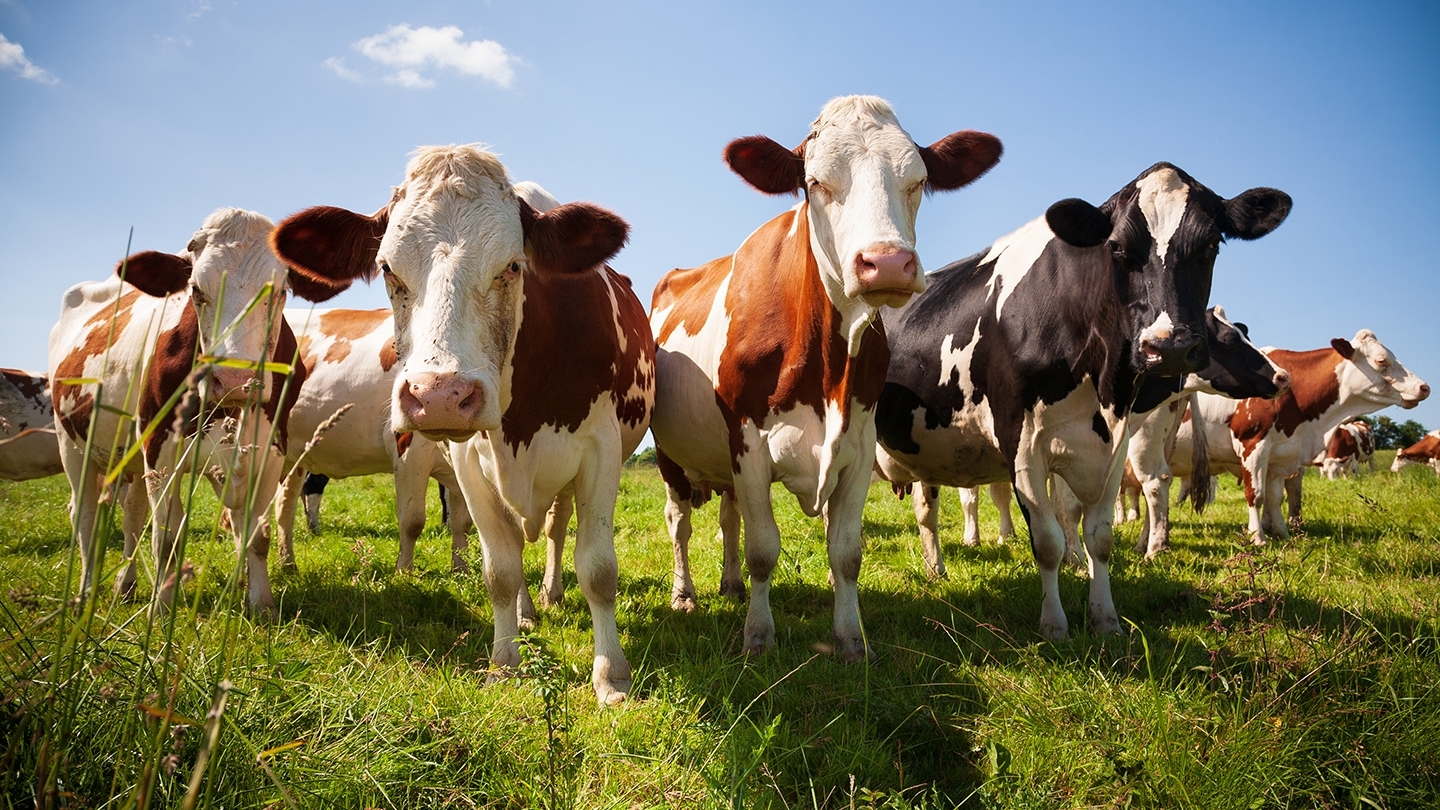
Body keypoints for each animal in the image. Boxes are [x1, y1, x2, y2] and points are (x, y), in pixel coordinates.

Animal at [48, 207, 335, 613]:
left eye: (280, 292)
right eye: (196, 291)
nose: (233, 379)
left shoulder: (271, 448)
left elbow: (256, 533)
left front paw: (261, 603)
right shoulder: (160, 447)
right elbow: (167, 536)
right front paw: (161, 607)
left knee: (132, 514)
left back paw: (126, 584)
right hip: (72, 444)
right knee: (86, 516)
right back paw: (87, 591)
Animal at [270, 146, 655, 706]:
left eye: (513, 266)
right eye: (387, 268)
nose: (439, 396)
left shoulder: (601, 451)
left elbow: (598, 569)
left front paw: (612, 676)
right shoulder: (469, 460)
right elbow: (499, 570)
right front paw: (504, 662)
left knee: (557, 531)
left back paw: (550, 594)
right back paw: (526, 614)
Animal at [650, 95, 1003, 661]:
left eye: (918, 180)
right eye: (815, 182)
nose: (887, 263)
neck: (825, 367)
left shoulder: (857, 447)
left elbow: (845, 553)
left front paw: (851, 639)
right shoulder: (749, 444)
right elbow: (763, 548)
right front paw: (758, 636)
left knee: (728, 517)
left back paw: (730, 584)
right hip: (670, 454)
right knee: (679, 521)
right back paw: (685, 594)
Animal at [875, 162, 1293, 640]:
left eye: (1211, 245)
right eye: (1118, 247)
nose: (1168, 347)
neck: (1103, 382)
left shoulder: (1114, 443)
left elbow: (1099, 538)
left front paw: (1105, 619)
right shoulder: (1023, 445)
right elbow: (1048, 540)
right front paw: (1055, 624)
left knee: (926, 510)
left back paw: (935, 570)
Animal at [1172, 330, 1428, 544]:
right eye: (1381, 361)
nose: (1424, 387)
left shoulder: (1280, 454)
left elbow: (1275, 497)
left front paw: (1283, 534)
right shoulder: (1253, 446)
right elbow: (1256, 495)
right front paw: (1258, 537)